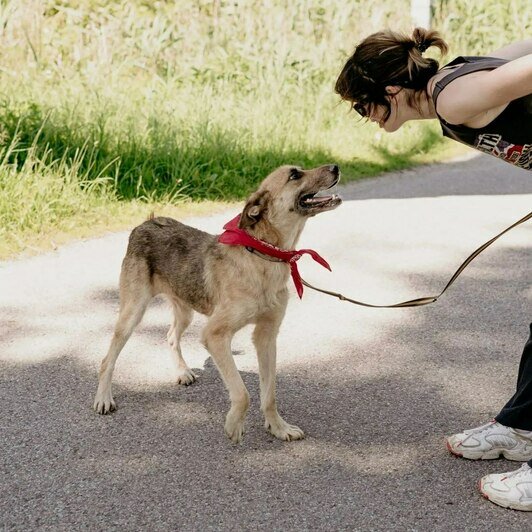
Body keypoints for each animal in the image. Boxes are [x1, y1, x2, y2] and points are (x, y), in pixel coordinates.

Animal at [93, 164, 342, 442]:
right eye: (295, 175)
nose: (335, 167)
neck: (263, 255)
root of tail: (148, 221)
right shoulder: (215, 335)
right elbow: (242, 393)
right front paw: (234, 424)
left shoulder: (266, 336)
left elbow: (269, 394)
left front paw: (278, 427)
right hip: (132, 313)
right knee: (107, 360)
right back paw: (104, 398)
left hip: (185, 310)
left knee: (170, 335)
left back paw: (182, 372)